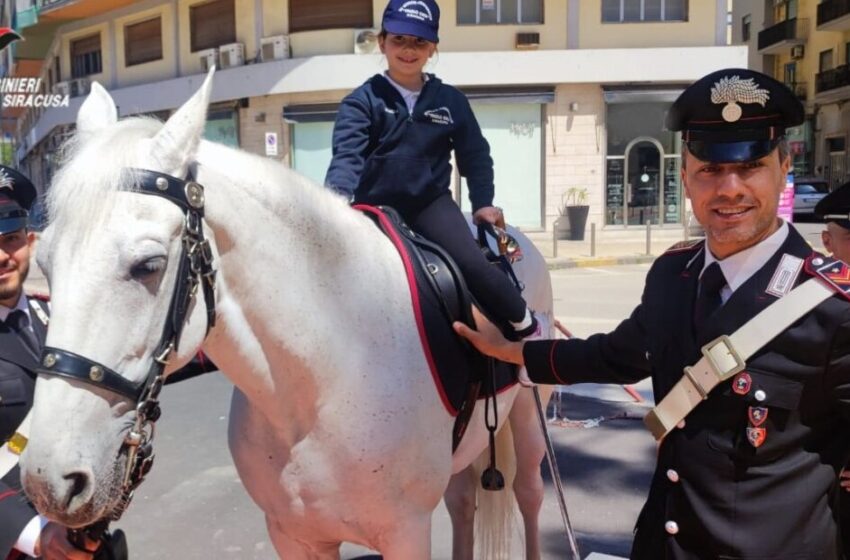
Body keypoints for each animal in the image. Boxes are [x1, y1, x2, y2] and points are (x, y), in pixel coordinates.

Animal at [19, 69, 555, 559]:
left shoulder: (406, 534)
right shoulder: (293, 535)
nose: (49, 479)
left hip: (528, 417)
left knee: (529, 494)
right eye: (43, 263)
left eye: (147, 265)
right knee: (463, 500)